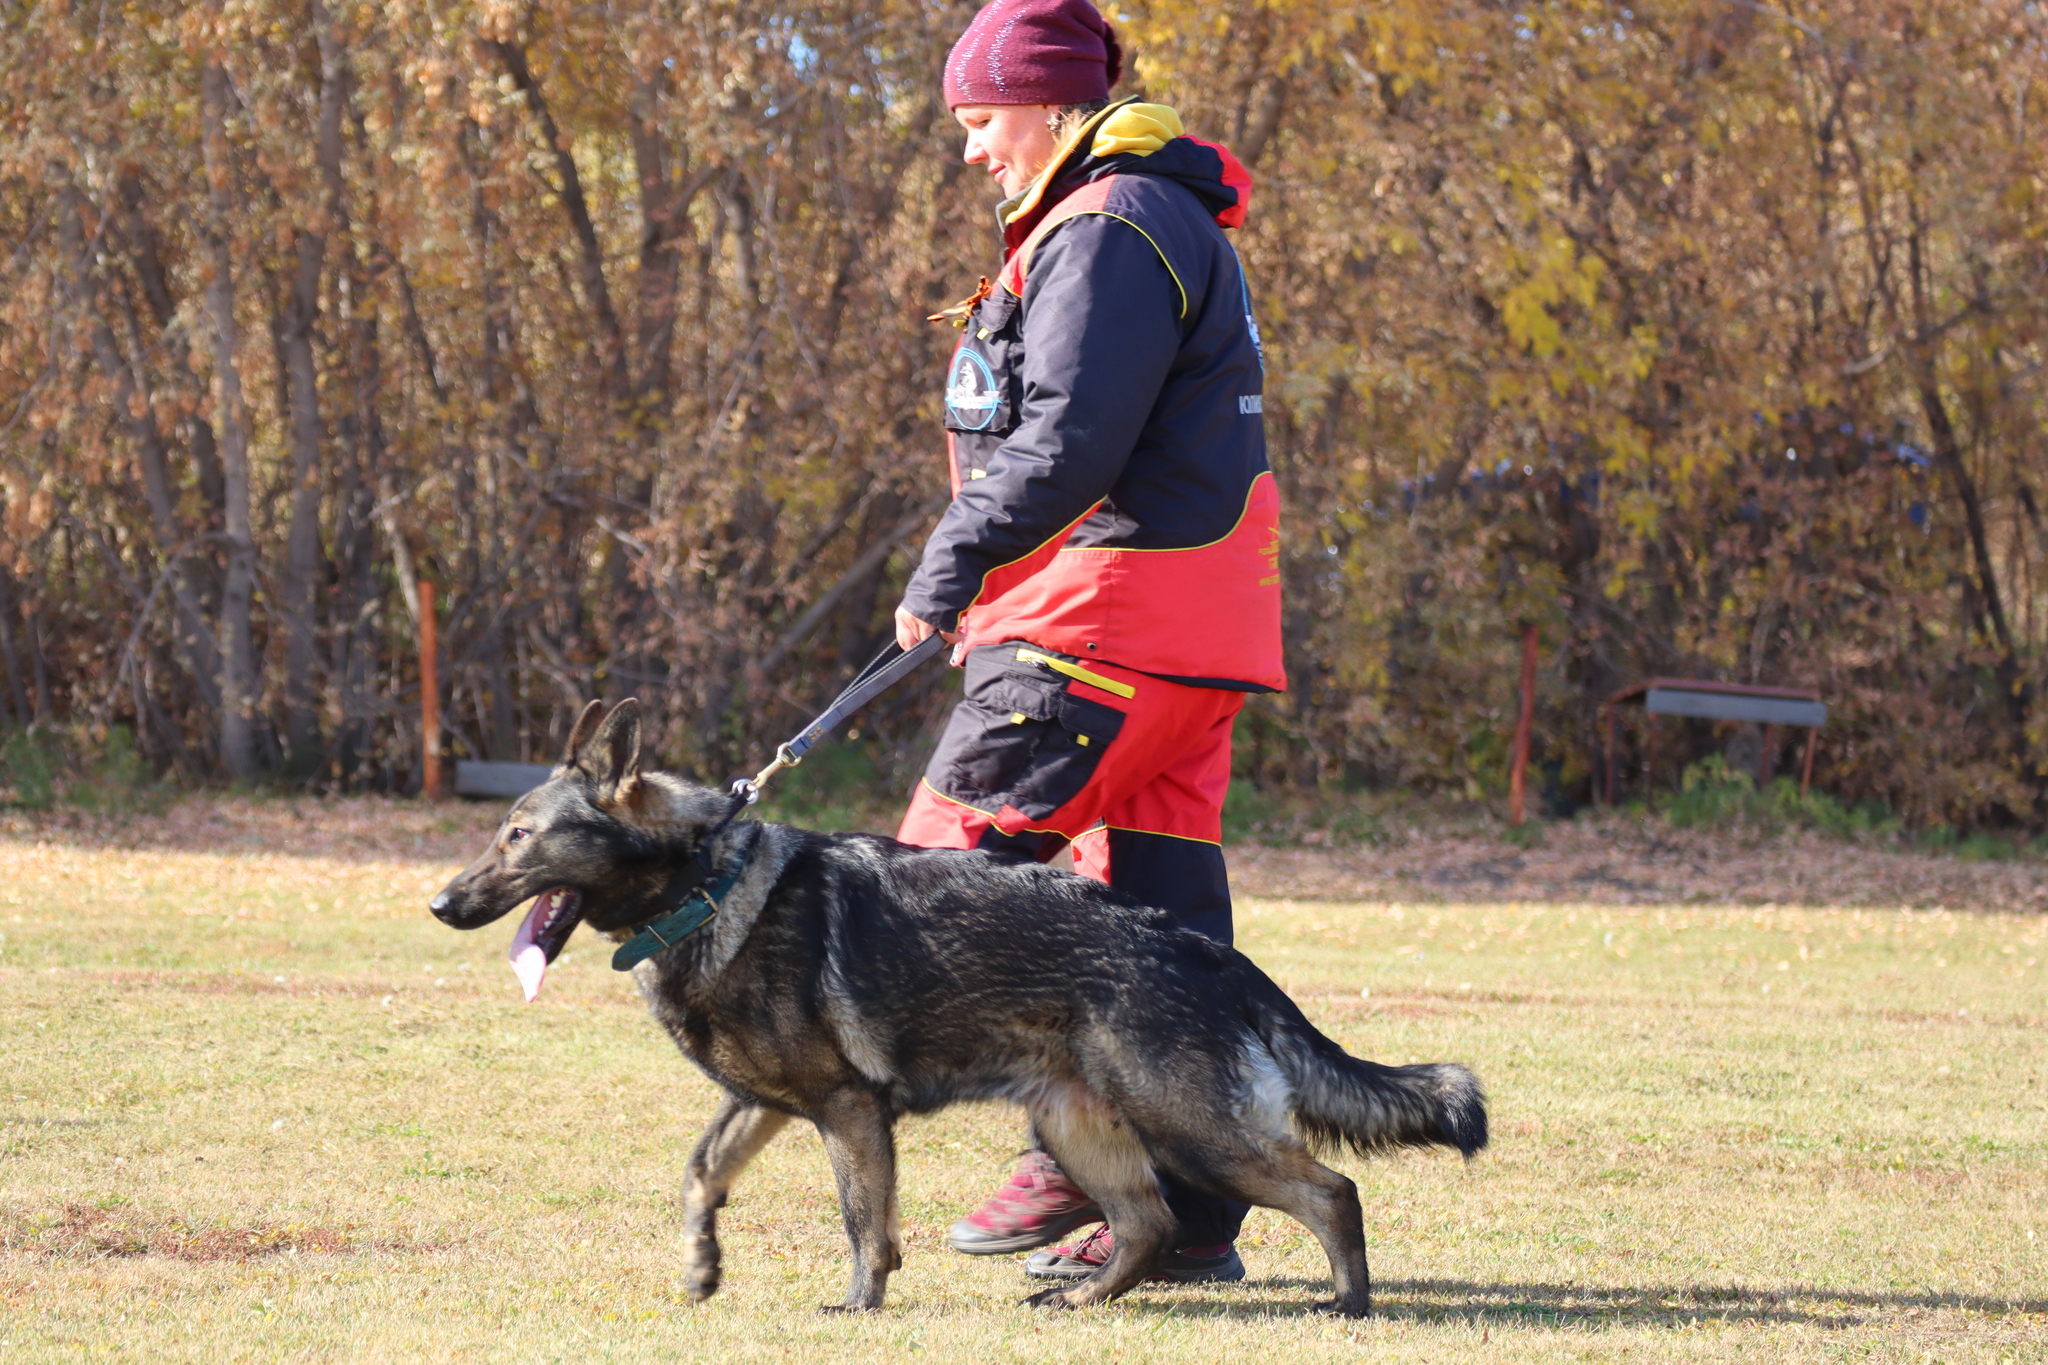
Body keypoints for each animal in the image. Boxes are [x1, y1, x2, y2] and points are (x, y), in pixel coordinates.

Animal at [436, 699, 1490, 1317]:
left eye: (519, 836)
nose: (442, 904)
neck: (704, 879)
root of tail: (1206, 950)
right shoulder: (768, 1102)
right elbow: (700, 1172)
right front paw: (701, 1267)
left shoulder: (848, 1112)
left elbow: (864, 1221)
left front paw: (858, 1306)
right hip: (1079, 1126)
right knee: (1147, 1224)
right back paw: (1086, 1300)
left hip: (1188, 1128)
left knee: (1329, 1190)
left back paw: (1347, 1305)